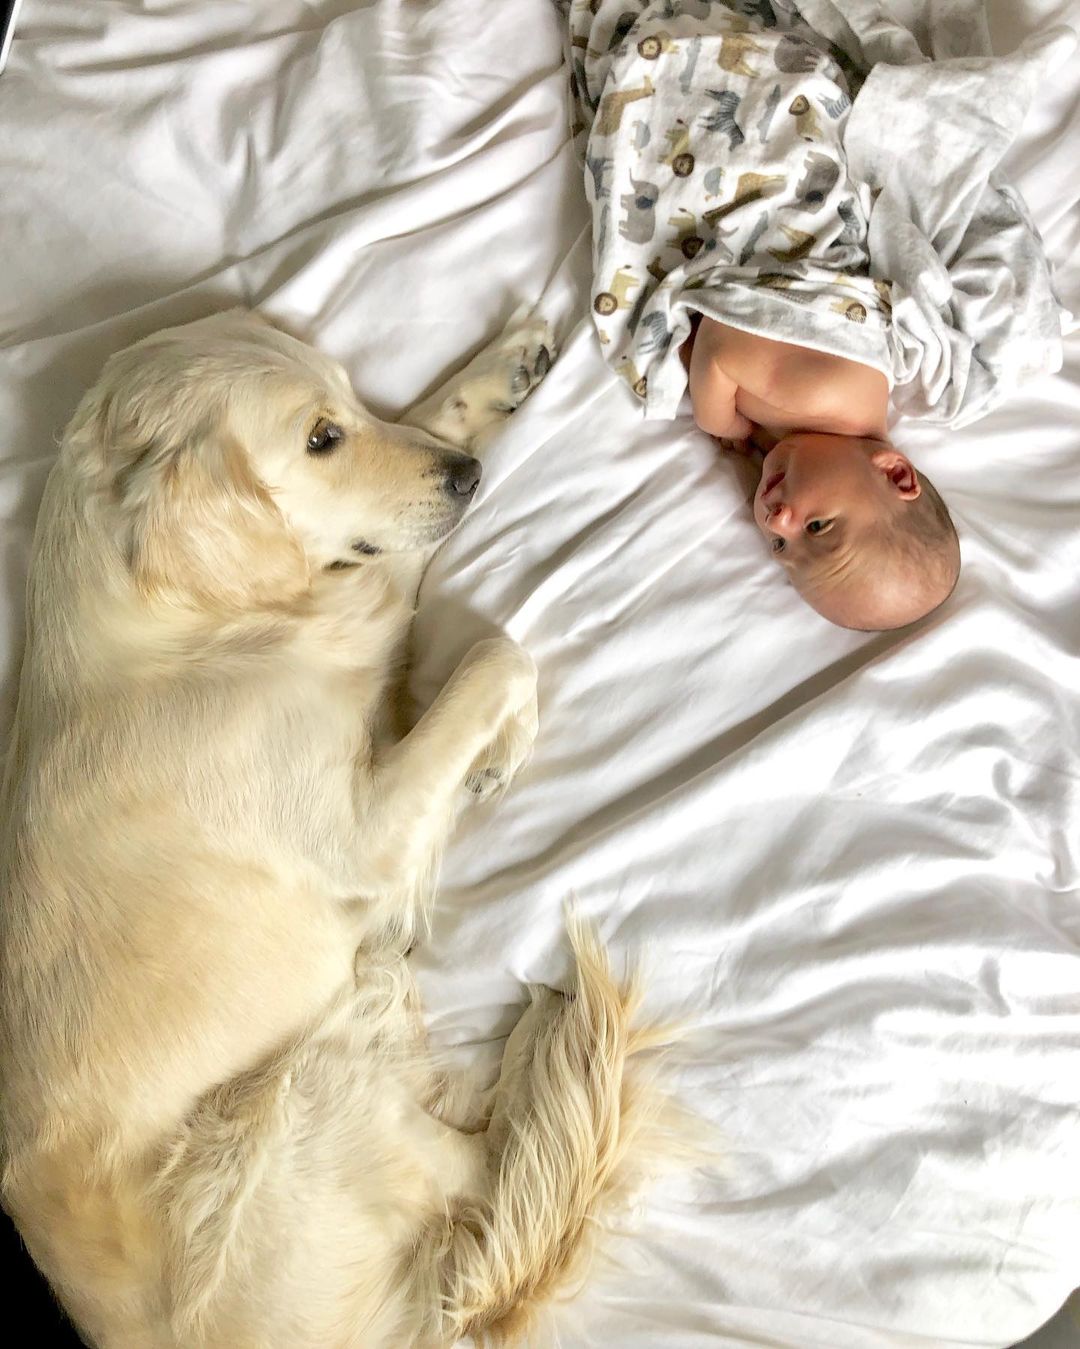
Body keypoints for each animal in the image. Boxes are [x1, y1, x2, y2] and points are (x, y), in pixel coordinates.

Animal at [0, 312, 660, 1349]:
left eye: (350, 402)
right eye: (320, 439)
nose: (469, 476)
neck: (176, 627)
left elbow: (408, 510)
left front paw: (492, 375)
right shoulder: (363, 826)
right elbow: (491, 652)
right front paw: (503, 740)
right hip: (305, 1093)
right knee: (503, 1170)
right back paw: (554, 1048)